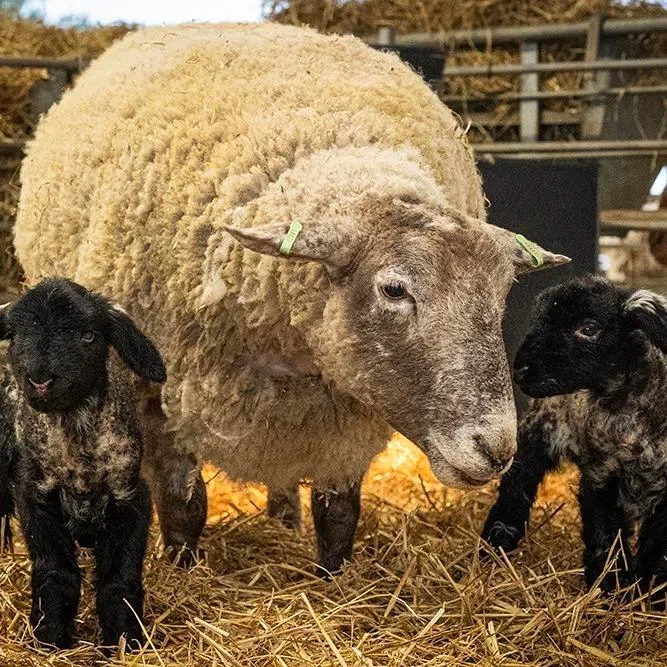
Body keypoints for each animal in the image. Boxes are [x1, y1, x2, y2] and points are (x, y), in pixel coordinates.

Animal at [0, 278, 166, 649]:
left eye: (88, 335)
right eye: (16, 335)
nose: (40, 379)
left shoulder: (131, 499)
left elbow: (119, 581)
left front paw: (125, 641)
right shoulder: (35, 498)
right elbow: (56, 575)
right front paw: (50, 640)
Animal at [14, 22, 569, 573]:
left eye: (502, 294)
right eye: (394, 289)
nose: (497, 449)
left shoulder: (345, 419)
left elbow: (339, 513)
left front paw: (333, 578)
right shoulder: (157, 394)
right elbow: (183, 506)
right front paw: (182, 569)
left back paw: (284, 522)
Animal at [481, 275, 667, 600]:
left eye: (589, 328)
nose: (521, 370)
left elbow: (656, 547)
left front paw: (649, 592)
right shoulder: (600, 473)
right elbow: (604, 533)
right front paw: (610, 586)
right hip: (539, 427)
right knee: (518, 483)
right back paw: (497, 540)